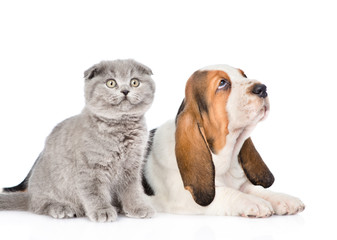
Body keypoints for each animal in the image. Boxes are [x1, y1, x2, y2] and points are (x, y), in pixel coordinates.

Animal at [0, 59, 155, 221]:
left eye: (135, 82)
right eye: (111, 83)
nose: (125, 91)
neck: (121, 128)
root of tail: (29, 195)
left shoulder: (132, 167)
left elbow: (133, 191)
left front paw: (138, 208)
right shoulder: (89, 169)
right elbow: (94, 192)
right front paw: (102, 211)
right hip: (48, 188)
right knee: (40, 205)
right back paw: (62, 208)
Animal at [142, 64, 304, 217]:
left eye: (244, 75)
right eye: (222, 83)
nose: (262, 88)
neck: (224, 158)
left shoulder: (242, 184)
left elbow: (255, 189)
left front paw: (283, 199)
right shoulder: (185, 197)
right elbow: (227, 193)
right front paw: (254, 202)